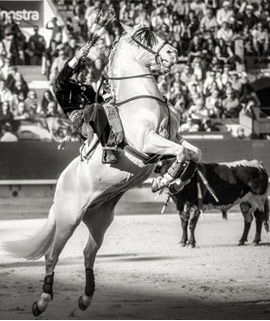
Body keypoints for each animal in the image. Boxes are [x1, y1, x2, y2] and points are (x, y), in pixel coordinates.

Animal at [5, 23, 201, 314]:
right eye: (144, 37)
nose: (173, 53)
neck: (141, 99)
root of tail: (60, 186)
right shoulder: (148, 140)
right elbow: (183, 152)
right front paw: (167, 178)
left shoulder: (174, 137)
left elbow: (194, 152)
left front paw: (172, 180)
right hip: (69, 219)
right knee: (52, 255)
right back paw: (41, 301)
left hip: (99, 220)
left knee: (88, 253)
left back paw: (85, 299)